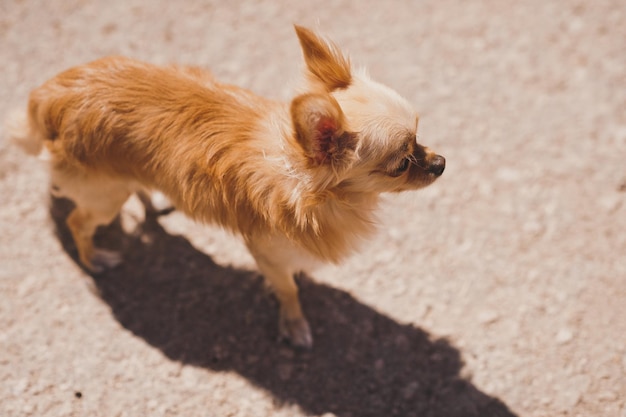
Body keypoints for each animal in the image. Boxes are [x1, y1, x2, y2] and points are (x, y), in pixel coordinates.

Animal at [6, 24, 444, 346]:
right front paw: (294, 323)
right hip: (105, 198)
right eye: (401, 164)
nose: (441, 163)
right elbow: (288, 290)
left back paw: (151, 203)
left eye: (420, 136)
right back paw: (93, 258)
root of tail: (48, 96)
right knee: (78, 223)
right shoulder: (265, 253)